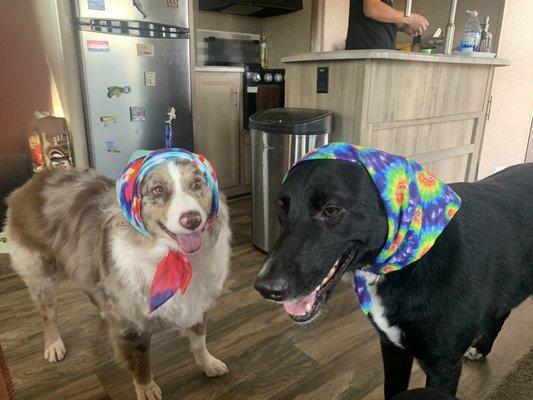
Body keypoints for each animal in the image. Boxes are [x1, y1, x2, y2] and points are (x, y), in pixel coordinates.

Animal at [255, 159, 532, 396]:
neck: (410, 260)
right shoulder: (393, 348)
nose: (265, 288)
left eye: (331, 210)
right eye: (281, 206)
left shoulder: (444, 368)